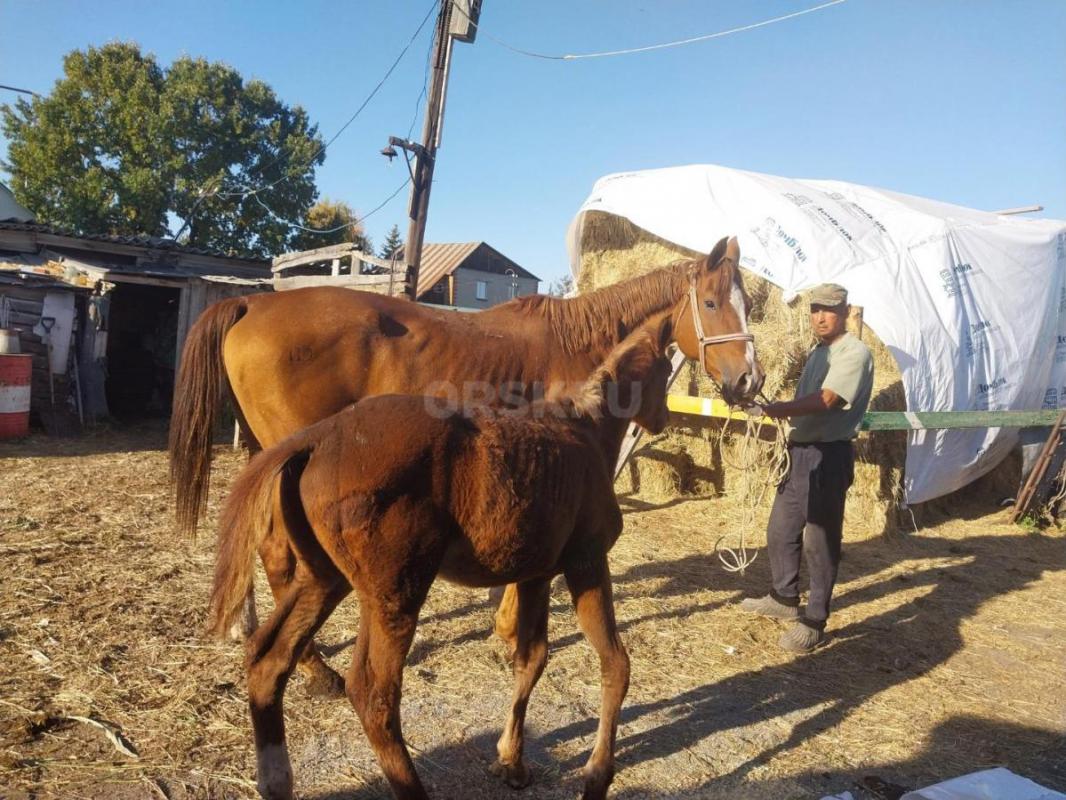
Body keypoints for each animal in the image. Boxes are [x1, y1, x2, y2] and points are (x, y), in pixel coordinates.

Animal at [208, 320, 673, 800]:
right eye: (666, 369)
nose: (664, 419)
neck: (586, 432)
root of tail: (317, 438)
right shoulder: (588, 563)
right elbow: (616, 663)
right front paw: (597, 776)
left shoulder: (536, 577)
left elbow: (531, 658)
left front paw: (511, 761)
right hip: (396, 592)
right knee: (373, 694)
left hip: (324, 578)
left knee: (268, 659)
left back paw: (277, 777)